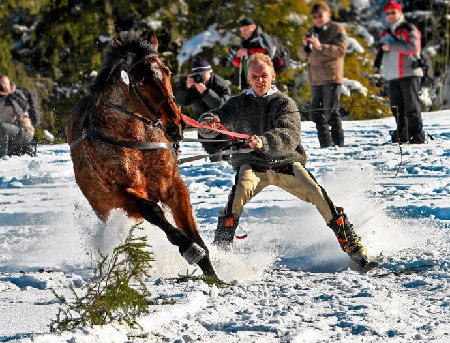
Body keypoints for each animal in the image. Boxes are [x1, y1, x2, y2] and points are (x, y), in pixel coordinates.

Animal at [64, 30, 216, 280]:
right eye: (139, 80)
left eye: (167, 71)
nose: (175, 126)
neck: (136, 138)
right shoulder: (121, 190)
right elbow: (154, 211)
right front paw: (190, 249)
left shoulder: (173, 184)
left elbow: (193, 231)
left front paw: (215, 278)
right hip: (103, 205)